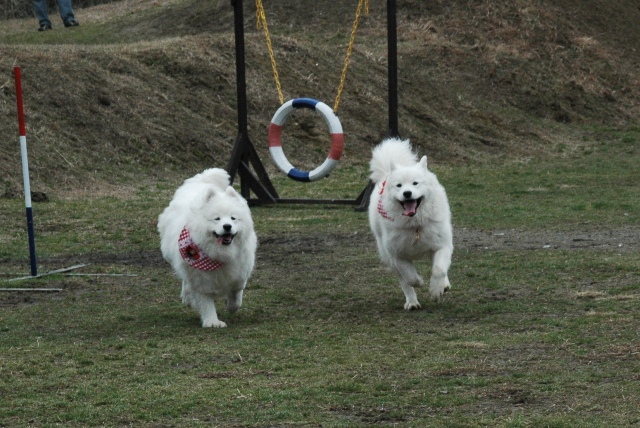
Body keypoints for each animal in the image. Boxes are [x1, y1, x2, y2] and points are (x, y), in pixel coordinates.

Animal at [158, 168, 258, 328]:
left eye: (233, 218)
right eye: (217, 219)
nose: (227, 226)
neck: (220, 254)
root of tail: (199, 182)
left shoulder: (240, 272)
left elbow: (236, 292)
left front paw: (232, 306)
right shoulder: (199, 279)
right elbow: (205, 302)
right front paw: (212, 322)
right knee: (184, 280)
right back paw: (186, 296)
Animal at [368, 139, 452, 310]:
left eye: (415, 183)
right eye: (399, 185)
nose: (407, 193)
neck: (415, 225)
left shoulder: (442, 245)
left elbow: (439, 269)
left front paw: (436, 291)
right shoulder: (397, 255)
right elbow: (409, 278)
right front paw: (419, 281)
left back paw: (444, 285)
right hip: (388, 257)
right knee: (404, 281)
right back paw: (412, 303)